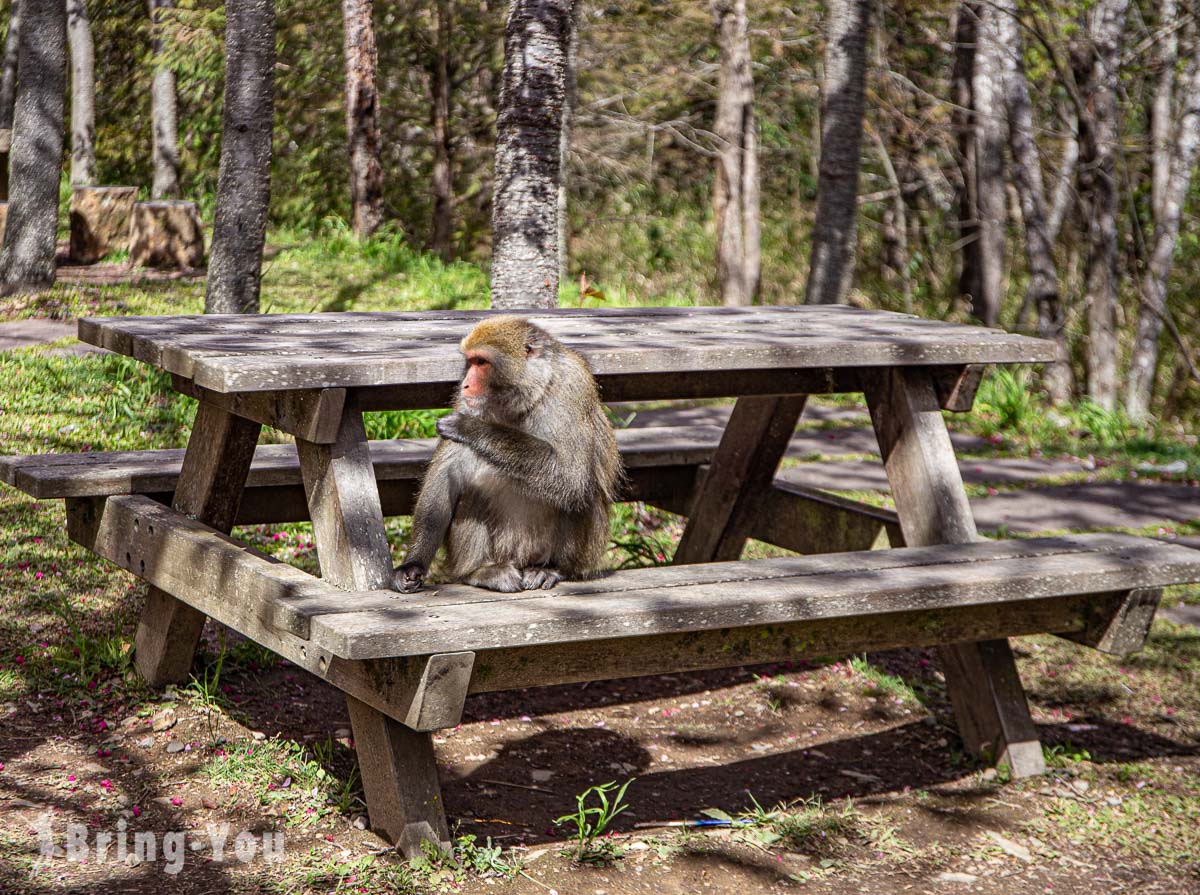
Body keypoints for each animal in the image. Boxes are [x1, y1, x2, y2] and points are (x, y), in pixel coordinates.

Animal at [393, 316, 624, 592]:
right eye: (470, 362)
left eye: (481, 362)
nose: (465, 384)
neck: (531, 394)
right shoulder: (466, 403)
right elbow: (446, 477)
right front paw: (412, 564)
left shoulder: (573, 388)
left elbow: (572, 474)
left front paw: (472, 429)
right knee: (473, 493)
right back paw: (478, 571)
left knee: (579, 495)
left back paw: (552, 569)